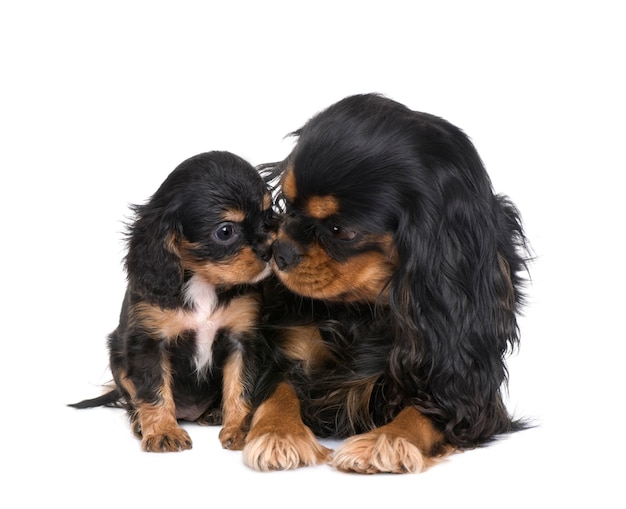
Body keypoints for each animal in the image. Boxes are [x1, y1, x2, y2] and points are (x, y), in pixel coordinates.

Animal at [70, 151, 278, 452]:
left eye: (268, 215)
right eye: (225, 231)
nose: (269, 249)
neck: (202, 281)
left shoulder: (243, 340)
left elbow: (241, 387)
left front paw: (240, 429)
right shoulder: (149, 343)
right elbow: (153, 391)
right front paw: (163, 432)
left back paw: (214, 412)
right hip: (117, 355)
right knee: (131, 398)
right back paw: (139, 423)